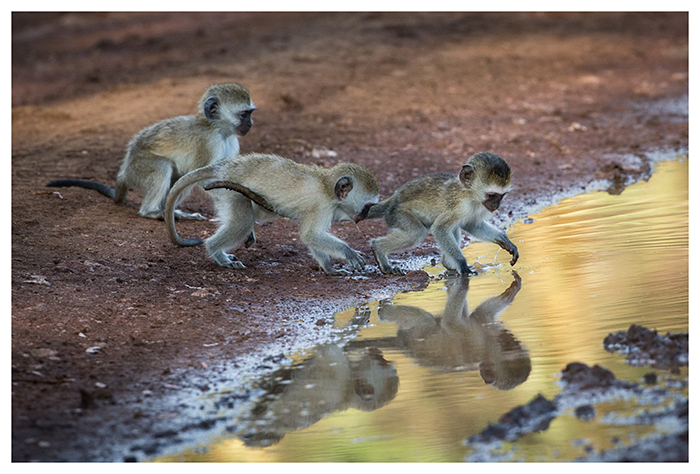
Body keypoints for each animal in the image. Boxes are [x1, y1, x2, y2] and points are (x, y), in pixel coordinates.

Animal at [46, 83, 256, 220]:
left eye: (250, 113)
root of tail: (125, 169)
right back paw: (152, 212)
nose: (251, 124)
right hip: (139, 167)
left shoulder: (232, 143)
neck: (219, 131)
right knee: (164, 167)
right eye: (244, 114)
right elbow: (205, 179)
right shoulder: (210, 143)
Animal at [165, 152, 380, 276]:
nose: (362, 217)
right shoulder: (321, 207)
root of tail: (224, 166)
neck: (327, 187)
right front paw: (348, 252)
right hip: (230, 191)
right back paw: (218, 253)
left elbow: (312, 238)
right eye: (367, 206)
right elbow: (311, 235)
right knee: (242, 222)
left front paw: (329, 269)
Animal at [366, 152, 520, 276]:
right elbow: (439, 228)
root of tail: (393, 200)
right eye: (492, 195)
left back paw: (448, 264)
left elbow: (471, 225)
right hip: (397, 214)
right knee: (416, 233)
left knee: (453, 228)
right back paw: (378, 250)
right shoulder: (459, 207)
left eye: (501, 196)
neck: (469, 195)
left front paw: (504, 240)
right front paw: (462, 265)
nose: (496, 206)